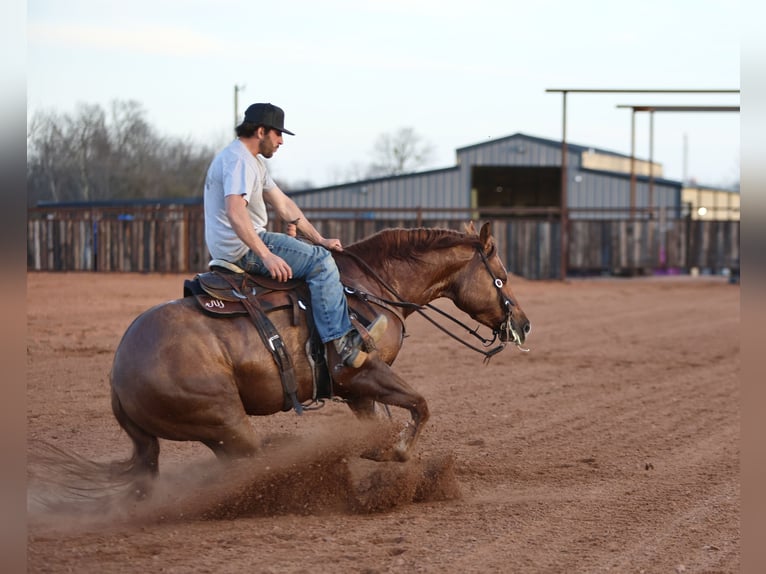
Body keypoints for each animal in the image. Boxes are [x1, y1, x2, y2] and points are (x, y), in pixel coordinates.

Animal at [111, 220, 532, 496]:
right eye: (503, 275)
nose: (524, 324)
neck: (368, 288)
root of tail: (118, 372)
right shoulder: (362, 373)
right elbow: (421, 406)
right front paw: (396, 453)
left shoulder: (358, 393)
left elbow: (381, 427)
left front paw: (379, 456)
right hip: (226, 424)